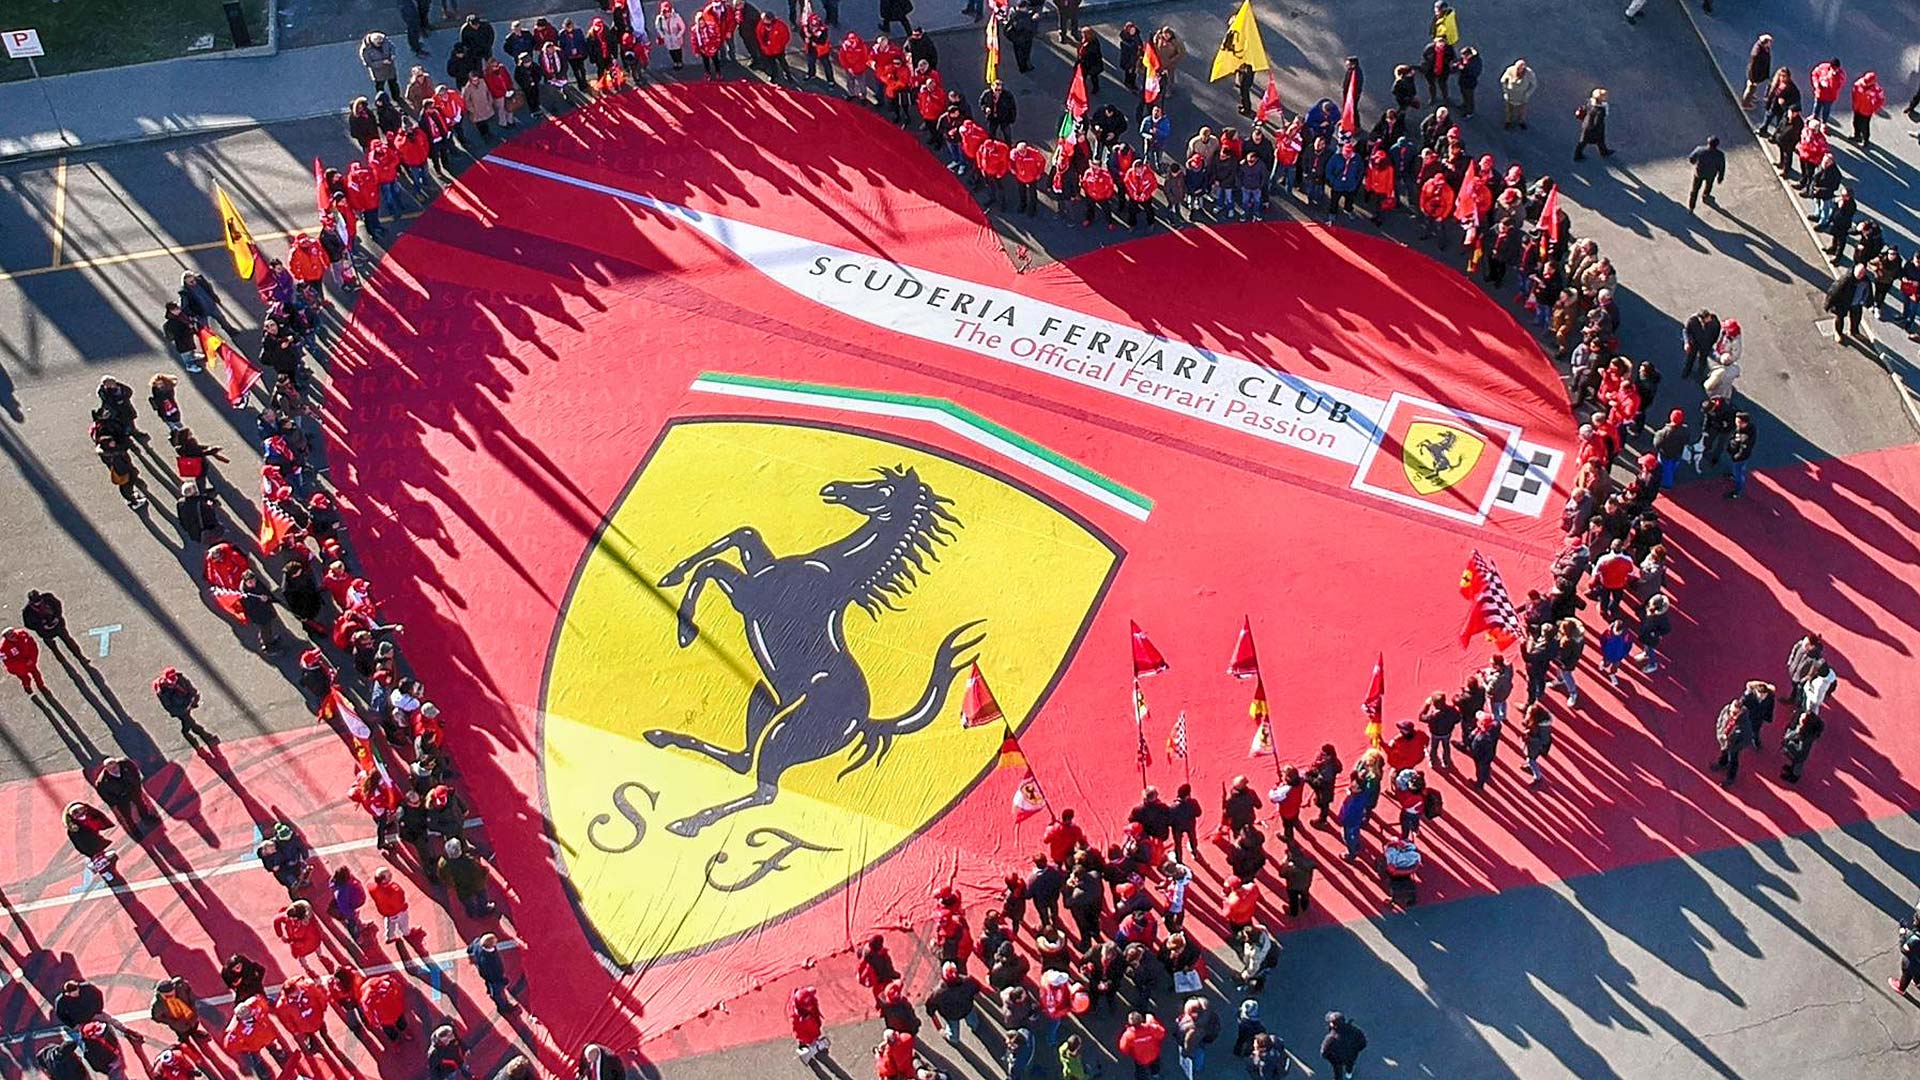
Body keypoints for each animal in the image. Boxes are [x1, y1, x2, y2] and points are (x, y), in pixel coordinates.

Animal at [645, 463, 983, 834]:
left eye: (882, 490)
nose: (833, 488)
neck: (835, 570)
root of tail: (864, 721)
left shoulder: (750, 597)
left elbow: (713, 567)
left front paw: (684, 630)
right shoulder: (758, 572)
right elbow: (743, 534)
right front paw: (671, 579)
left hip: (787, 734)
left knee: (765, 789)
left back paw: (690, 821)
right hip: (767, 694)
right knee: (743, 759)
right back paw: (662, 738)